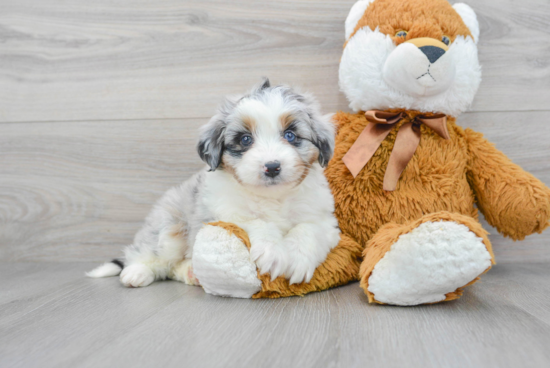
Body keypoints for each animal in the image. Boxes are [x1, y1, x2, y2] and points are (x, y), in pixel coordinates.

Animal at [87, 80, 340, 288]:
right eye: (245, 139)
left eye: (290, 135)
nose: (272, 167)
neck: (273, 197)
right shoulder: (224, 212)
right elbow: (256, 221)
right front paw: (273, 252)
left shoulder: (324, 220)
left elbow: (308, 229)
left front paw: (297, 259)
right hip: (169, 229)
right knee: (150, 254)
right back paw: (137, 272)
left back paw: (191, 273)